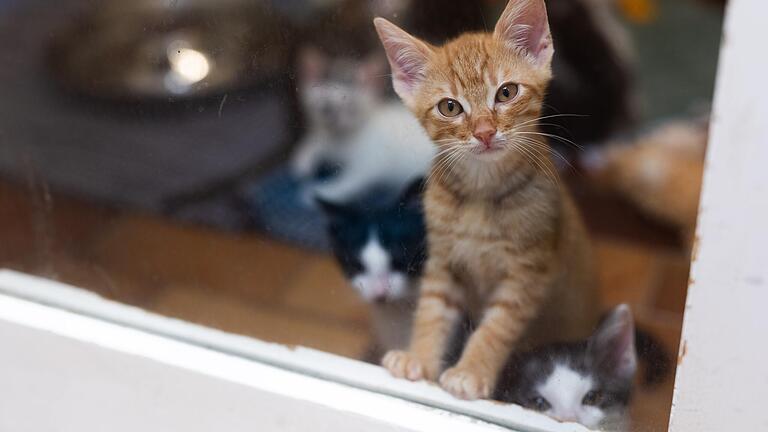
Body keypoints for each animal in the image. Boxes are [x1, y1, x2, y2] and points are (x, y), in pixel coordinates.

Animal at [376, 0, 604, 398]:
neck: (480, 194)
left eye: (506, 92)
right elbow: (431, 310)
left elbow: (495, 328)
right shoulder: (445, 261)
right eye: (450, 107)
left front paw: (471, 370)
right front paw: (418, 358)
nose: (484, 132)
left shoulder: (527, 274)